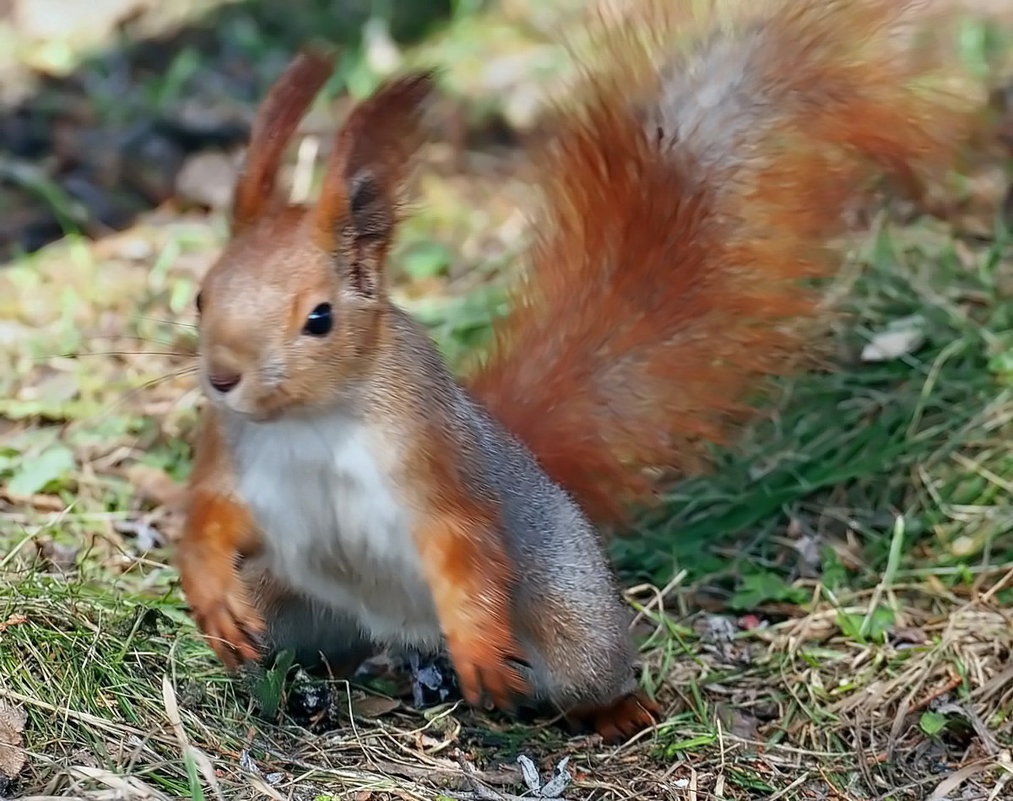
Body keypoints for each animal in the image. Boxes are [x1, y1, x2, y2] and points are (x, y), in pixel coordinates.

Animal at [172, 0, 964, 741]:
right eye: (202, 294)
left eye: (319, 318)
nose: (222, 378)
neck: (312, 420)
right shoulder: (232, 454)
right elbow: (210, 517)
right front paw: (209, 592)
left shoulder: (431, 458)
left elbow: (461, 543)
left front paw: (480, 648)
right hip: (287, 599)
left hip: (570, 616)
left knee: (584, 672)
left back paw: (612, 706)